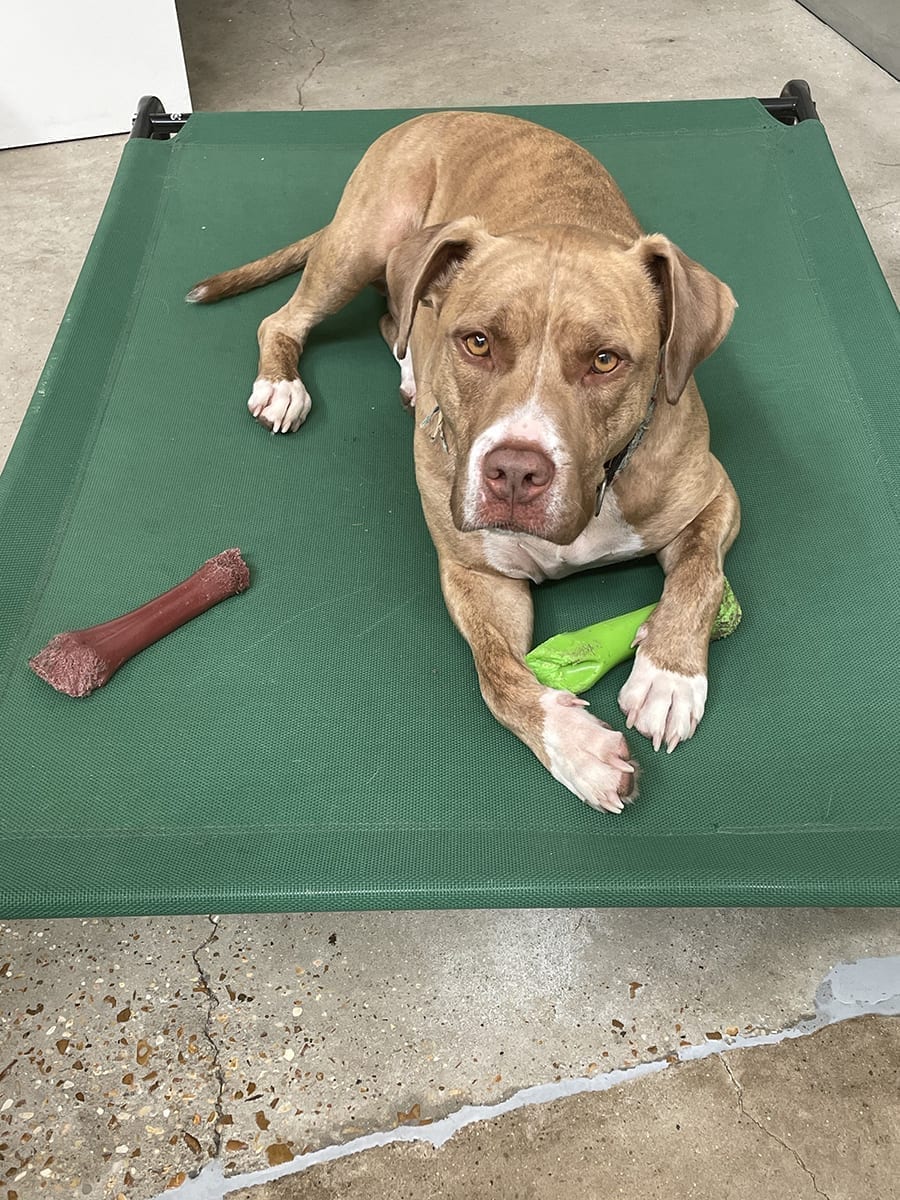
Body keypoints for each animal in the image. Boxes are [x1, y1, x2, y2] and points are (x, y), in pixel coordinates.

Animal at [188, 110, 739, 816]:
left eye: (605, 360)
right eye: (477, 342)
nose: (515, 473)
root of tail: (437, 114)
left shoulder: (713, 497)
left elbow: (700, 573)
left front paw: (669, 675)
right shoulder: (476, 575)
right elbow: (497, 677)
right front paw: (574, 746)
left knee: (395, 317)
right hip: (362, 244)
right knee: (288, 319)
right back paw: (284, 384)